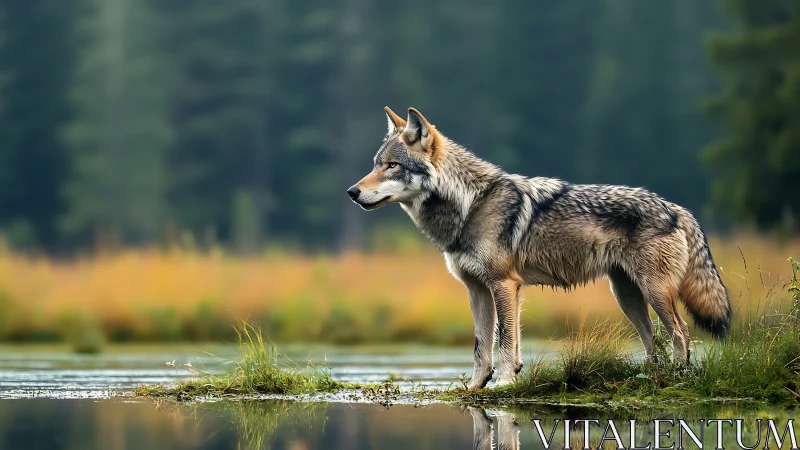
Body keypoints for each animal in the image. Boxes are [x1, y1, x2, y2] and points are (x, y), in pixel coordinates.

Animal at [347, 106, 731, 389]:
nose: (352, 192)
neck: (471, 204)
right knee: (653, 342)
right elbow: (481, 346)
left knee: (681, 333)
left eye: (392, 166)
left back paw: (678, 378)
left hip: (655, 292)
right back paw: (651, 378)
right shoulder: (477, 290)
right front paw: (475, 388)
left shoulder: (504, 284)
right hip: (628, 297)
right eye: (375, 165)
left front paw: (503, 383)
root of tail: (677, 209)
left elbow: (505, 342)